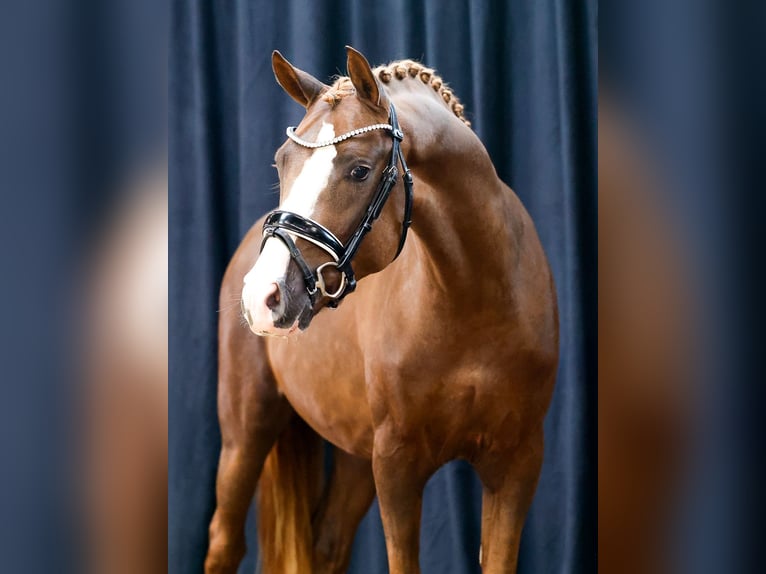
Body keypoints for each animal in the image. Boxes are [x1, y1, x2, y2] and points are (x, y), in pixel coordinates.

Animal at [207, 46, 560, 574]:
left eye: (358, 170)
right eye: (281, 162)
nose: (262, 296)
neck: (474, 305)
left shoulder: (517, 463)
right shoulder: (396, 464)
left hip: (354, 455)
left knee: (327, 544)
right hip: (245, 431)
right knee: (224, 541)